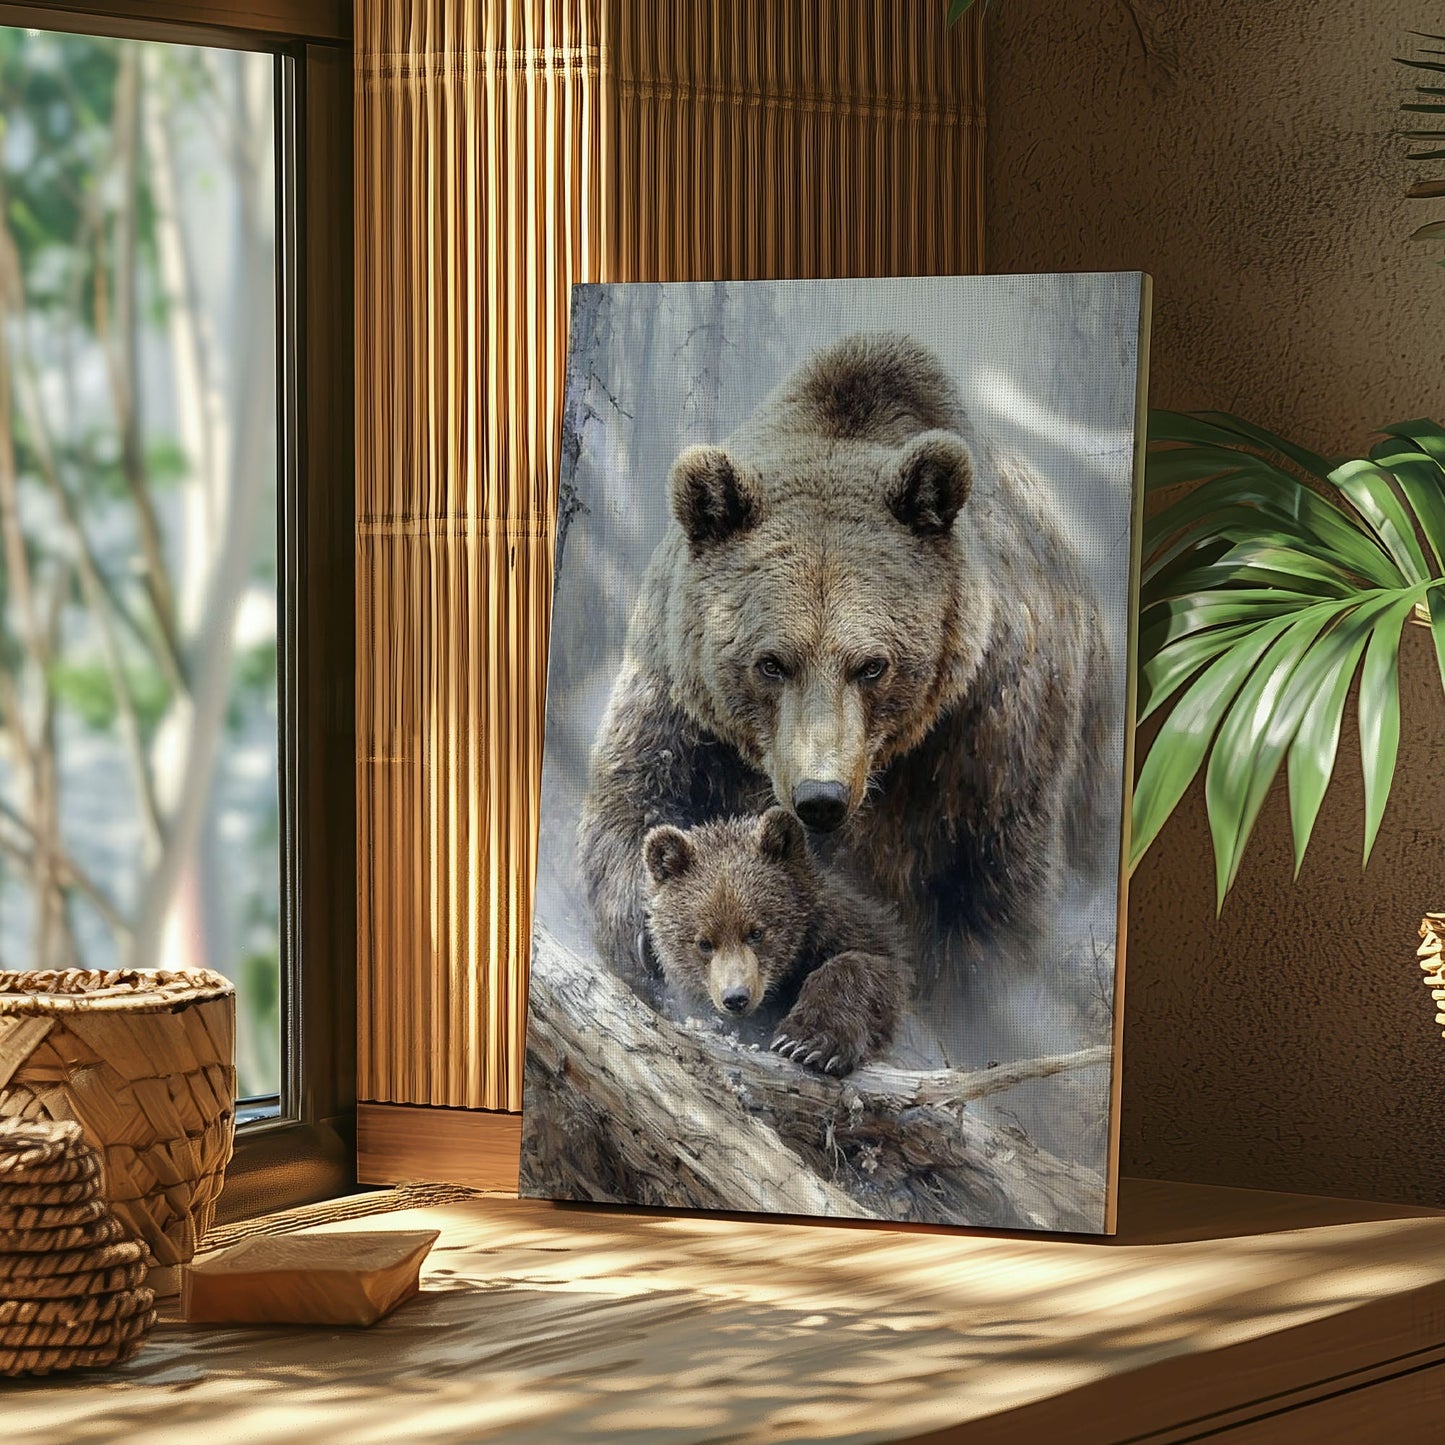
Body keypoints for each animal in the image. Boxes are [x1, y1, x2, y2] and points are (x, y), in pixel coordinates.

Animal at [578, 329, 1114, 1014]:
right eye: (771, 663)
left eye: (873, 665)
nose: (821, 798)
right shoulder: (684, 697)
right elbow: (639, 800)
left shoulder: (985, 740)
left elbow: (990, 900)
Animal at [641, 807, 910, 1076]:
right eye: (704, 943)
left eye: (756, 932)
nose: (736, 998)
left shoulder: (850, 928)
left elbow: (868, 965)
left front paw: (806, 1044)